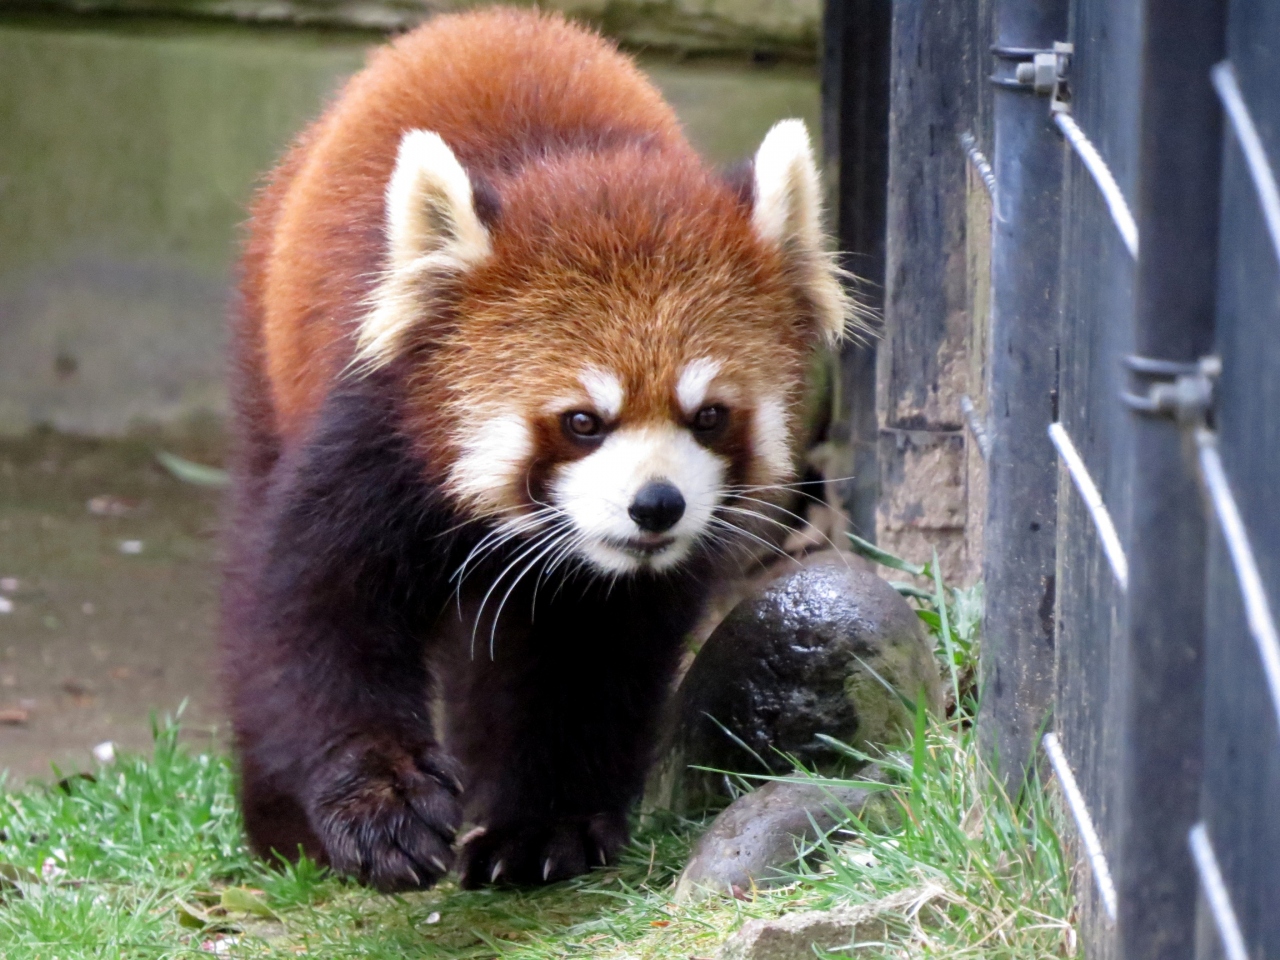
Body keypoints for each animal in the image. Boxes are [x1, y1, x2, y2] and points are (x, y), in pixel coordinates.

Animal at [225, 5, 855, 896]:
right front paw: (387, 810)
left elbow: (582, 660)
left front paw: (543, 827)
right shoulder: (376, 436)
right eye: (582, 421)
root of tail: (486, 20)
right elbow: (316, 615)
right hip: (268, 349)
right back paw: (282, 828)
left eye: (708, 416)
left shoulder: (621, 582)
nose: (656, 506)